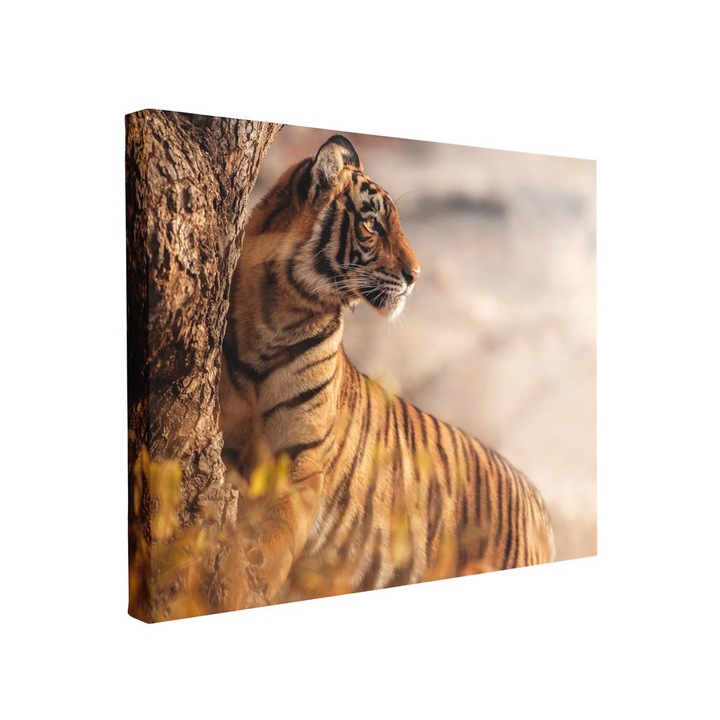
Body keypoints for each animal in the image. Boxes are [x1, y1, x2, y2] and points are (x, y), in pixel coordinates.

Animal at [219, 134, 555, 607]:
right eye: (373, 225)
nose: (416, 275)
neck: (276, 317)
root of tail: (538, 504)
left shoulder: (301, 465)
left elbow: (271, 545)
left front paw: (243, 588)